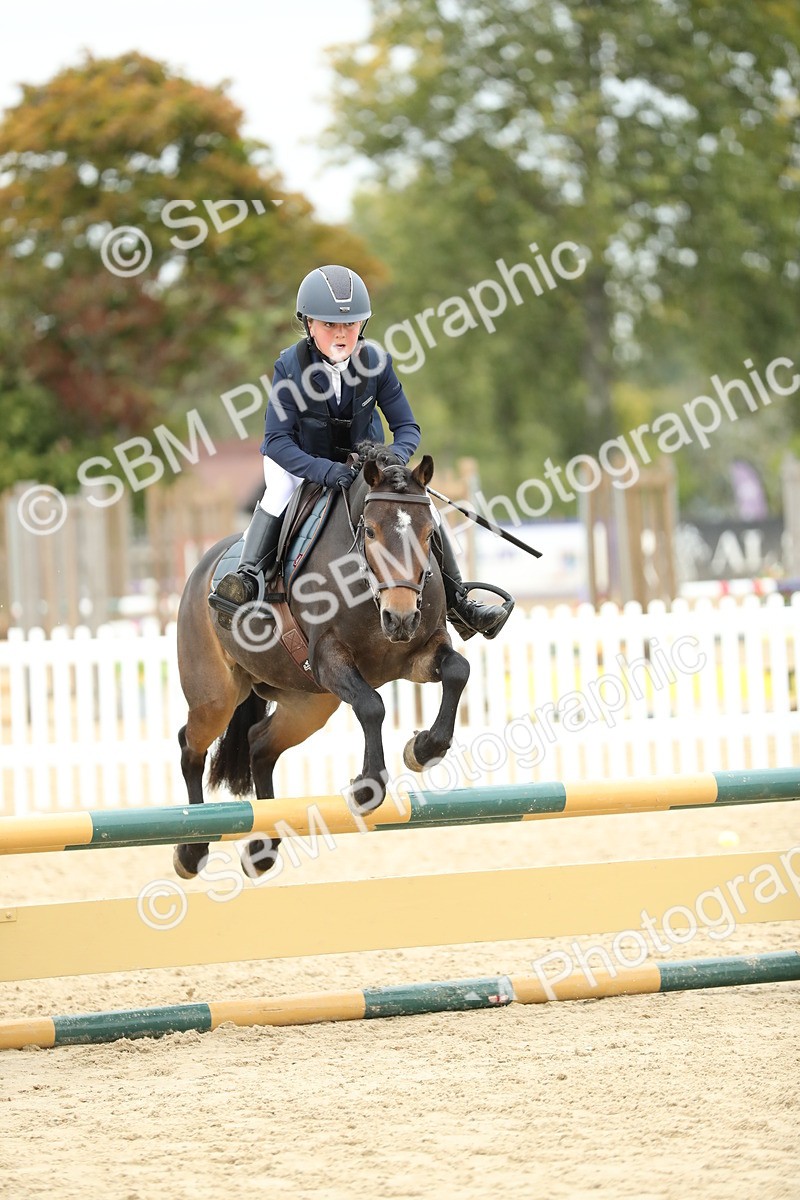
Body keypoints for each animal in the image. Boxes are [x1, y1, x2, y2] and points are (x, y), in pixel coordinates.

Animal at [173, 447, 471, 879]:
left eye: (430, 533)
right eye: (370, 533)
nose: (399, 619)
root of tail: (203, 565)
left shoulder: (420, 653)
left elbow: (457, 671)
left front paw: (423, 748)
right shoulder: (329, 658)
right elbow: (372, 705)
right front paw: (367, 788)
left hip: (309, 704)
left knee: (259, 744)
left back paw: (263, 848)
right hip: (215, 697)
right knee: (191, 746)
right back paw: (192, 849)